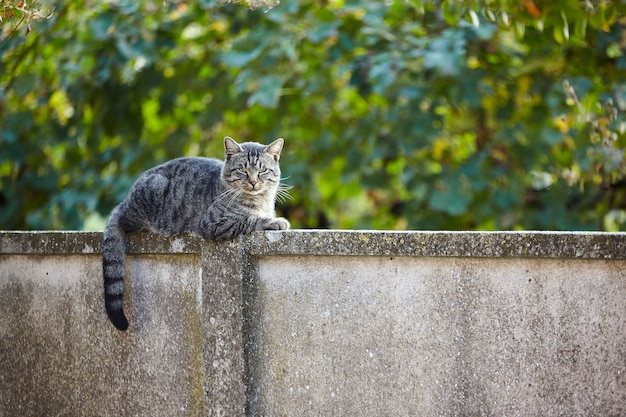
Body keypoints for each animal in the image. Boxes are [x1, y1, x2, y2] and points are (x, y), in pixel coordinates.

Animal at [101, 138, 288, 330]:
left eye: (262, 170)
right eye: (242, 170)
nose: (253, 182)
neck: (260, 201)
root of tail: (124, 201)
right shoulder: (215, 224)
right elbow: (250, 219)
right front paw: (275, 221)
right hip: (153, 193)